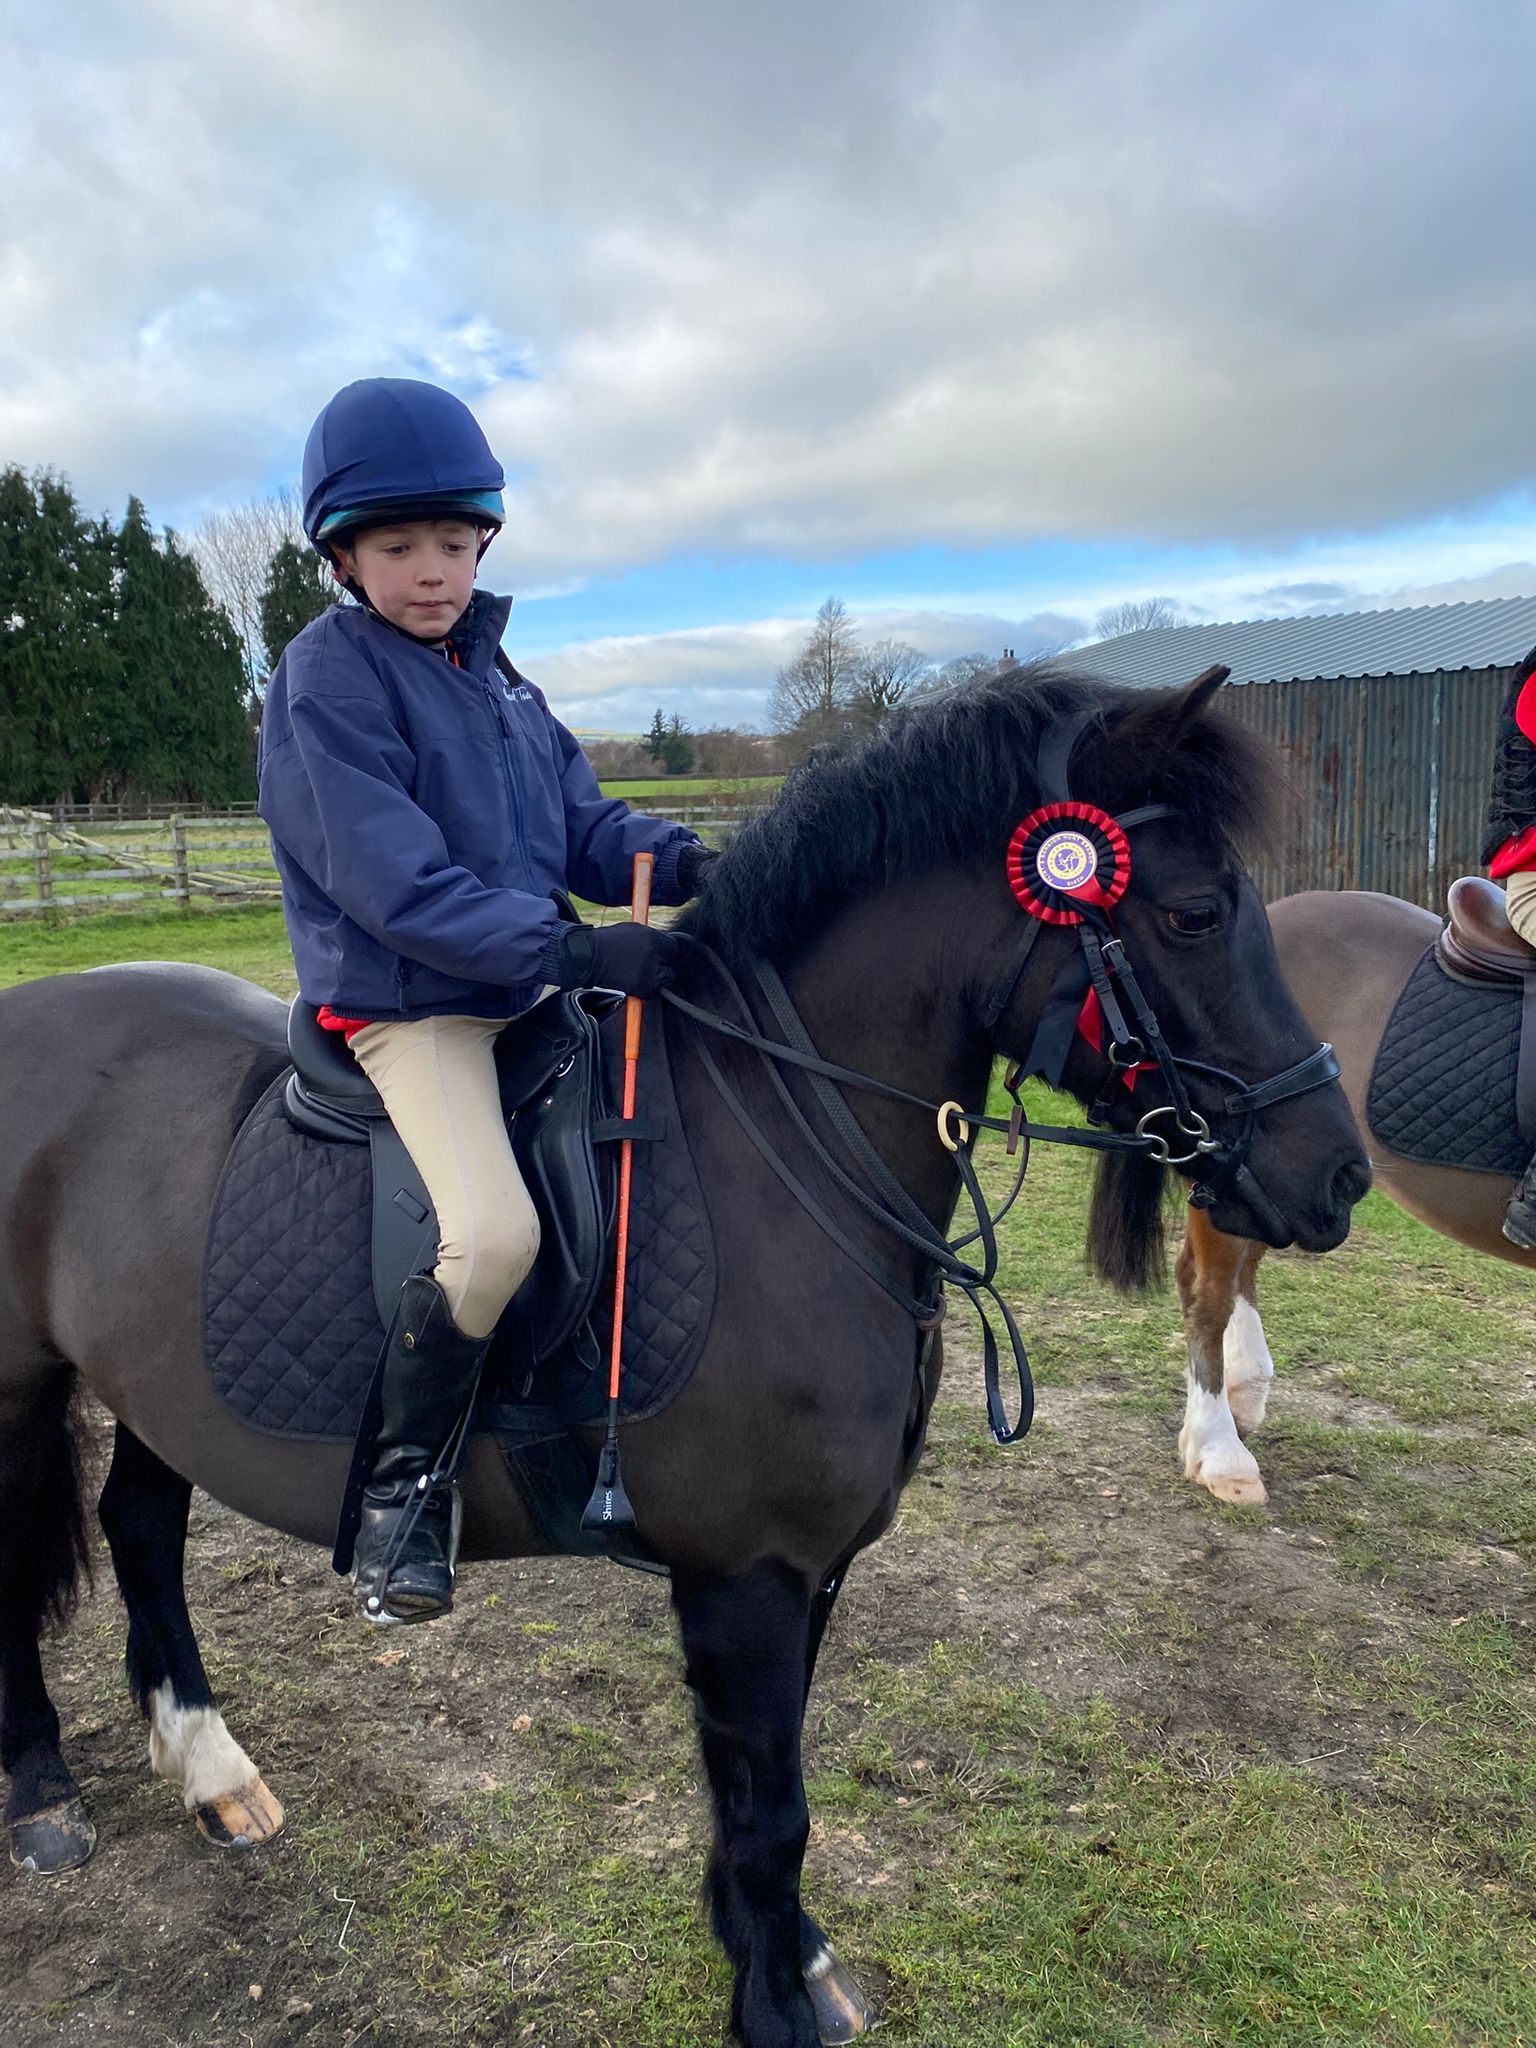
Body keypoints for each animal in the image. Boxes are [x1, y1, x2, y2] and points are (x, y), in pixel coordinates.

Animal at [0, 666, 1369, 2048]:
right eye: (1194, 913)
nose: (1339, 1175)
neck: (783, 1138)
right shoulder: (745, 1573)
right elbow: (772, 1812)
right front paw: (774, 2005)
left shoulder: (810, 1570)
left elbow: (769, 1796)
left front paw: (790, 1958)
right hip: (19, 1386)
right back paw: (42, 1793)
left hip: (159, 1394)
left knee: (142, 1532)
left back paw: (211, 1771)